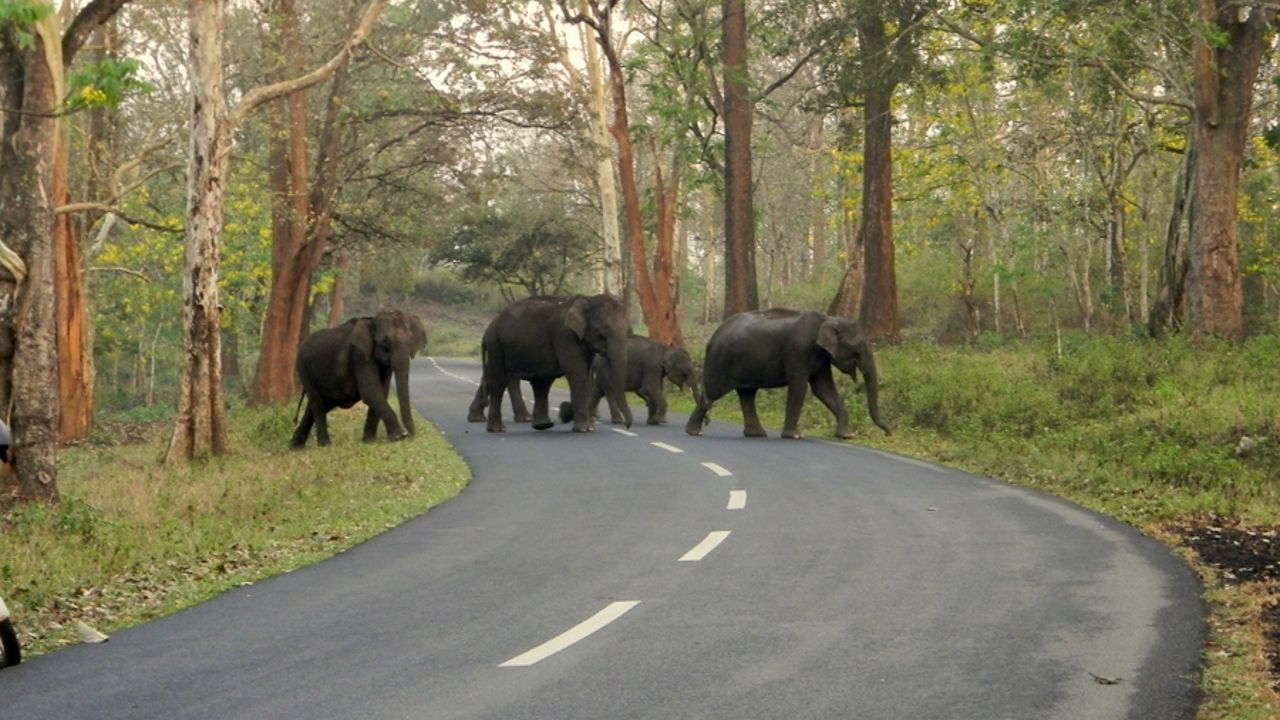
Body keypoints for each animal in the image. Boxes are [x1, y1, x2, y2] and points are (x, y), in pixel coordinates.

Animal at [290, 309, 427, 447]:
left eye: (410, 342)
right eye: (384, 343)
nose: (409, 435)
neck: (371, 321)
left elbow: (381, 392)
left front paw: (370, 441)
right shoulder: (359, 355)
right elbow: (370, 391)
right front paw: (398, 437)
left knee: (321, 404)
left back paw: (295, 446)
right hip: (302, 368)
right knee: (317, 401)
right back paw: (325, 445)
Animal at [480, 294, 633, 433]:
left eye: (628, 331)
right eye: (602, 332)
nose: (627, 426)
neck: (588, 299)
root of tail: (490, 325)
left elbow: (587, 376)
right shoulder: (565, 336)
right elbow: (577, 373)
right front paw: (585, 429)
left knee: (541, 383)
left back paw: (542, 425)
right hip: (496, 345)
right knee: (499, 382)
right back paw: (497, 429)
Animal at [685, 308, 890, 439]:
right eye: (858, 350)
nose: (889, 432)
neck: (828, 318)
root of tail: (714, 334)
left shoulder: (821, 358)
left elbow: (824, 390)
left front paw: (847, 435)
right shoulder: (798, 350)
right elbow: (799, 387)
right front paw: (796, 436)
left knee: (747, 394)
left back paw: (756, 434)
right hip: (720, 361)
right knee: (714, 391)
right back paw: (694, 432)